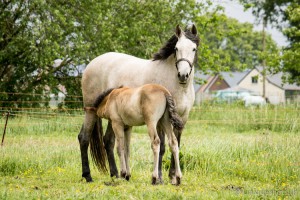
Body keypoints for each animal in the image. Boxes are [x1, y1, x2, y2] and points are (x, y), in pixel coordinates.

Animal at [79, 24, 199, 184]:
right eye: (176, 48)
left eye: (194, 49)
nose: (183, 75)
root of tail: (91, 64)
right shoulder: (159, 120)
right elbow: (161, 146)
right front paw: (159, 177)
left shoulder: (182, 118)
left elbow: (176, 143)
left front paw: (173, 177)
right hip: (90, 111)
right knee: (84, 138)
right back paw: (88, 175)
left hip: (114, 118)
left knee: (108, 141)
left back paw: (115, 174)